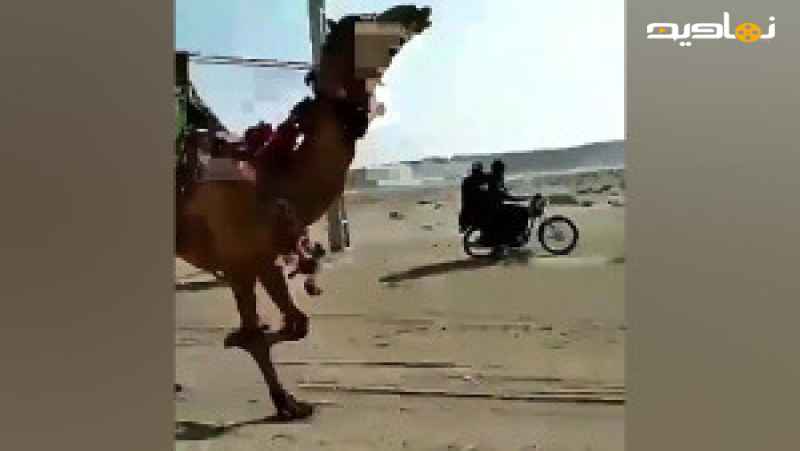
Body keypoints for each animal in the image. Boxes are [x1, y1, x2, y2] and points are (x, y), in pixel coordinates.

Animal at [176, 6, 432, 420]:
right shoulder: (238, 262)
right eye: (366, 19)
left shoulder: (263, 258)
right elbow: (257, 335)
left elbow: (296, 325)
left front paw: (274, 381)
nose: (416, 11)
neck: (272, 179)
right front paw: (285, 401)